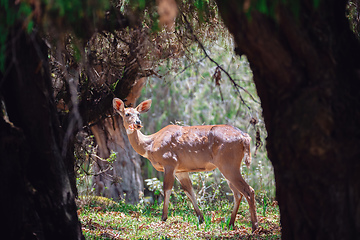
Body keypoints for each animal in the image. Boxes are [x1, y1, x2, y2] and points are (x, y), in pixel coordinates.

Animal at [114, 97, 258, 231]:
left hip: (228, 163)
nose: (137, 123)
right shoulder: (181, 170)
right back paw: (231, 224)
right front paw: (201, 218)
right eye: (127, 114)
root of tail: (245, 137)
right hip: (227, 166)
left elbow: (167, 189)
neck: (150, 146)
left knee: (248, 190)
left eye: (138, 114)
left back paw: (254, 226)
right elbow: (189, 191)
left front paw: (163, 217)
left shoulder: (170, 162)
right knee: (237, 193)